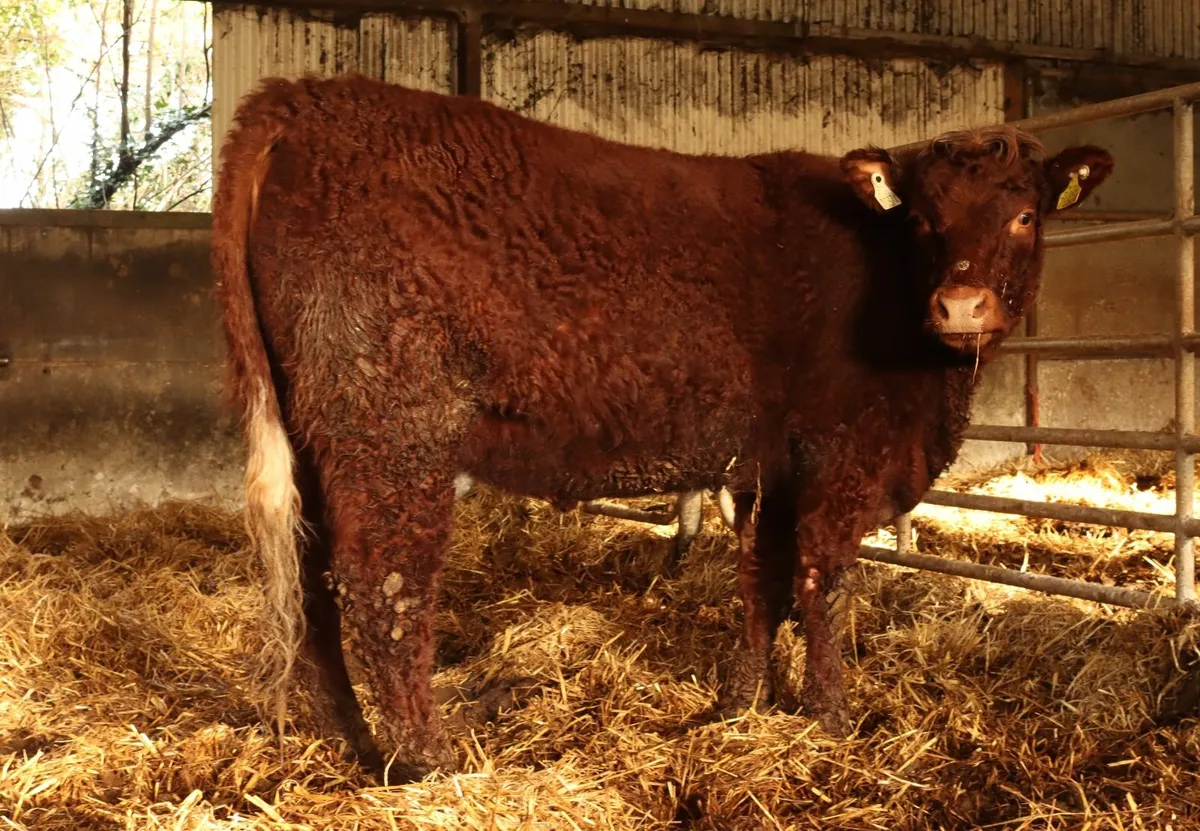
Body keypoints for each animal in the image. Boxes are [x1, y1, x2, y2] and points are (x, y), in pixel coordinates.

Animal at [210, 73, 1112, 780]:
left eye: (1027, 216)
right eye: (924, 218)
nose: (961, 306)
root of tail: (299, 97)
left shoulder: (767, 467)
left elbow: (760, 581)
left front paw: (741, 703)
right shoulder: (840, 454)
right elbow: (819, 580)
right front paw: (828, 715)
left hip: (316, 437)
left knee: (313, 586)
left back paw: (353, 742)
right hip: (392, 428)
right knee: (382, 586)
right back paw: (427, 760)